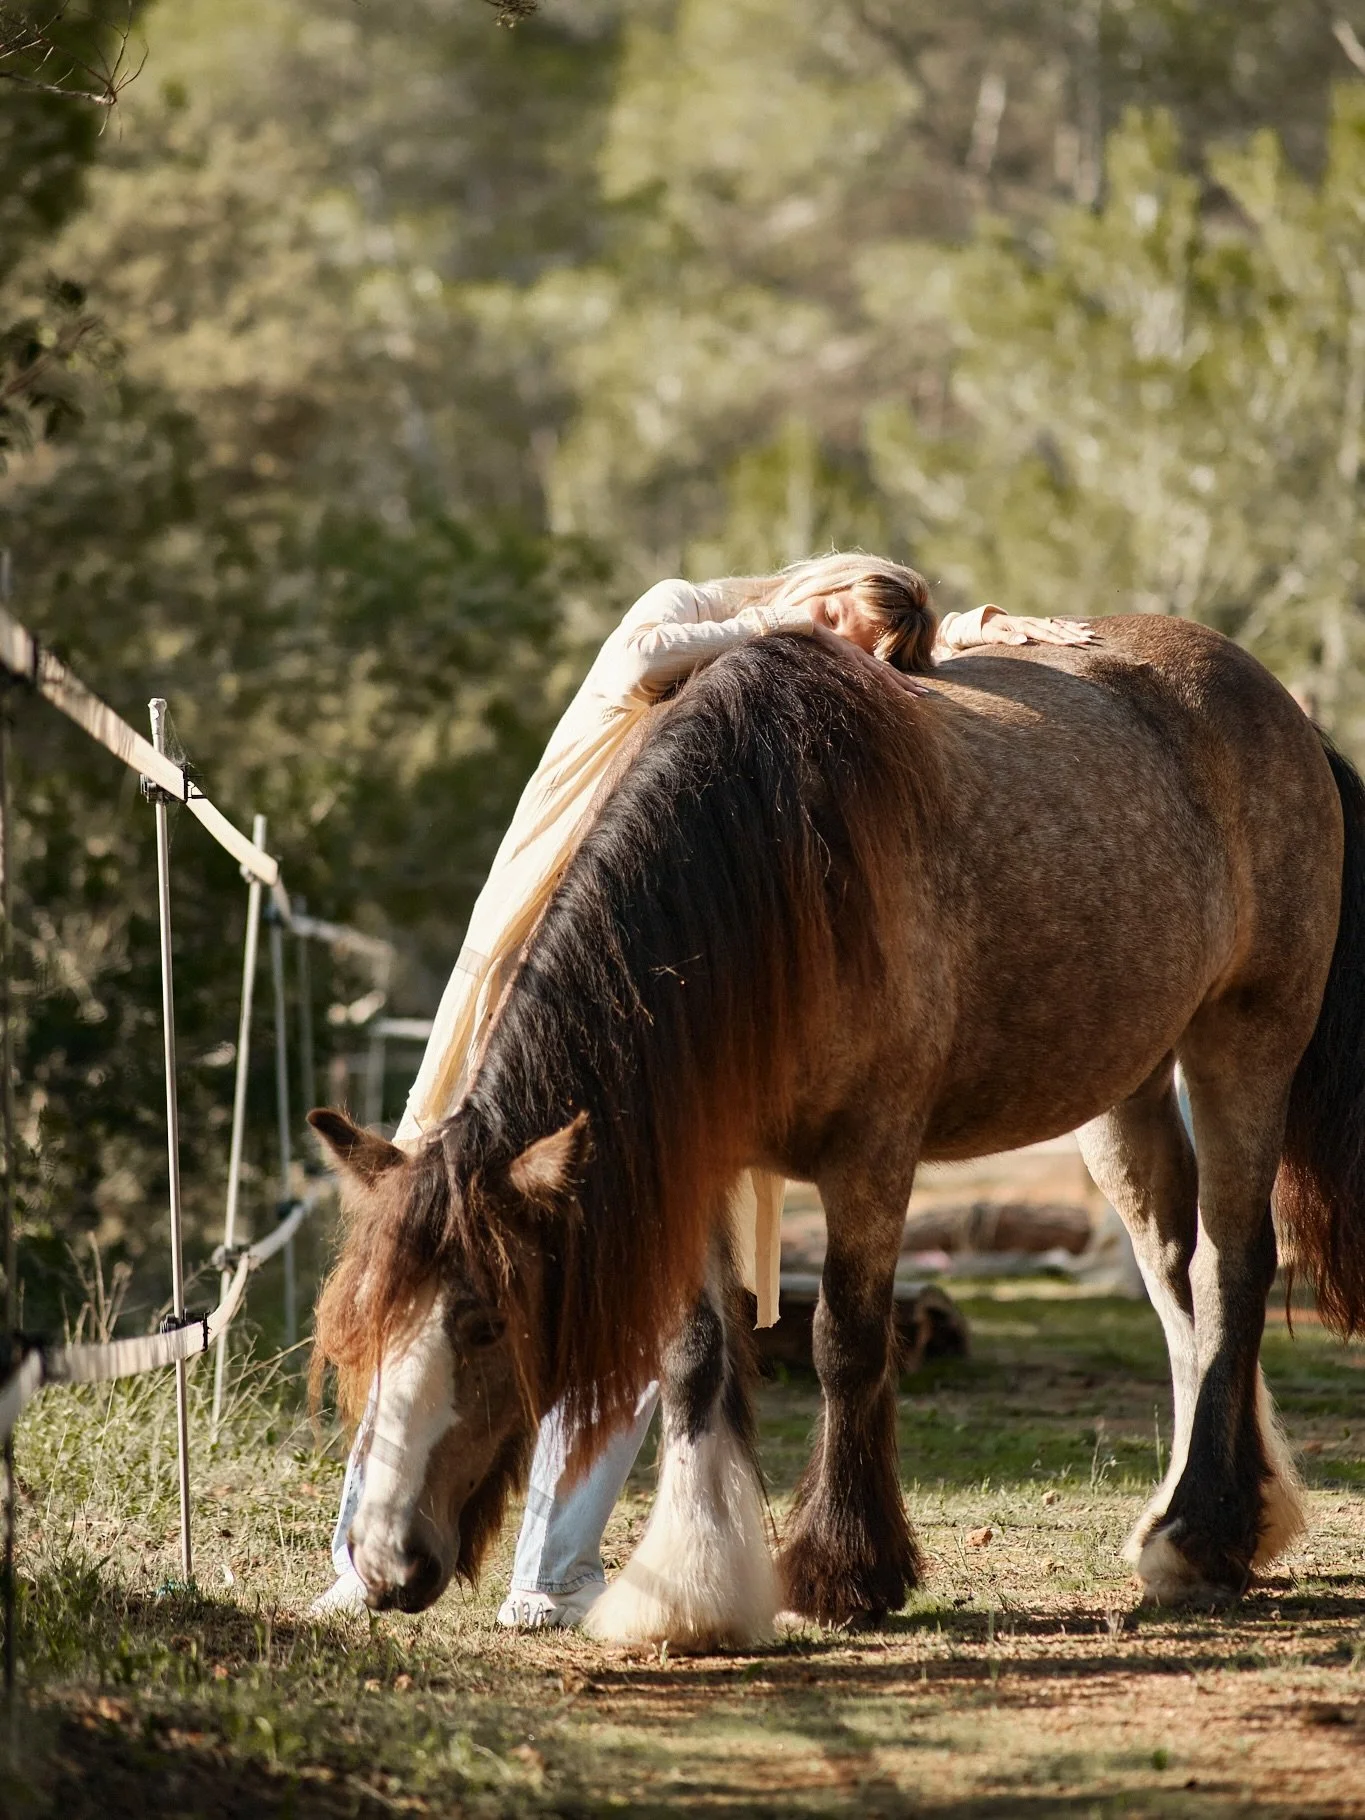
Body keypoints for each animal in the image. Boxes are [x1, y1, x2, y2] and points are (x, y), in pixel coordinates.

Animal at [309, 615, 1365, 1647]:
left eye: (487, 1322)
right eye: (366, 1325)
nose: (386, 1561)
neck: (768, 873)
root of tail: (1280, 709)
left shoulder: (872, 1154)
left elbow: (844, 1342)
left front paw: (842, 1572)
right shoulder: (702, 1158)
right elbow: (695, 1355)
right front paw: (690, 1589)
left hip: (1243, 1042)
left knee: (1230, 1269)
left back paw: (1199, 1539)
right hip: (1125, 1091)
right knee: (1173, 1281)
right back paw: (1216, 1518)